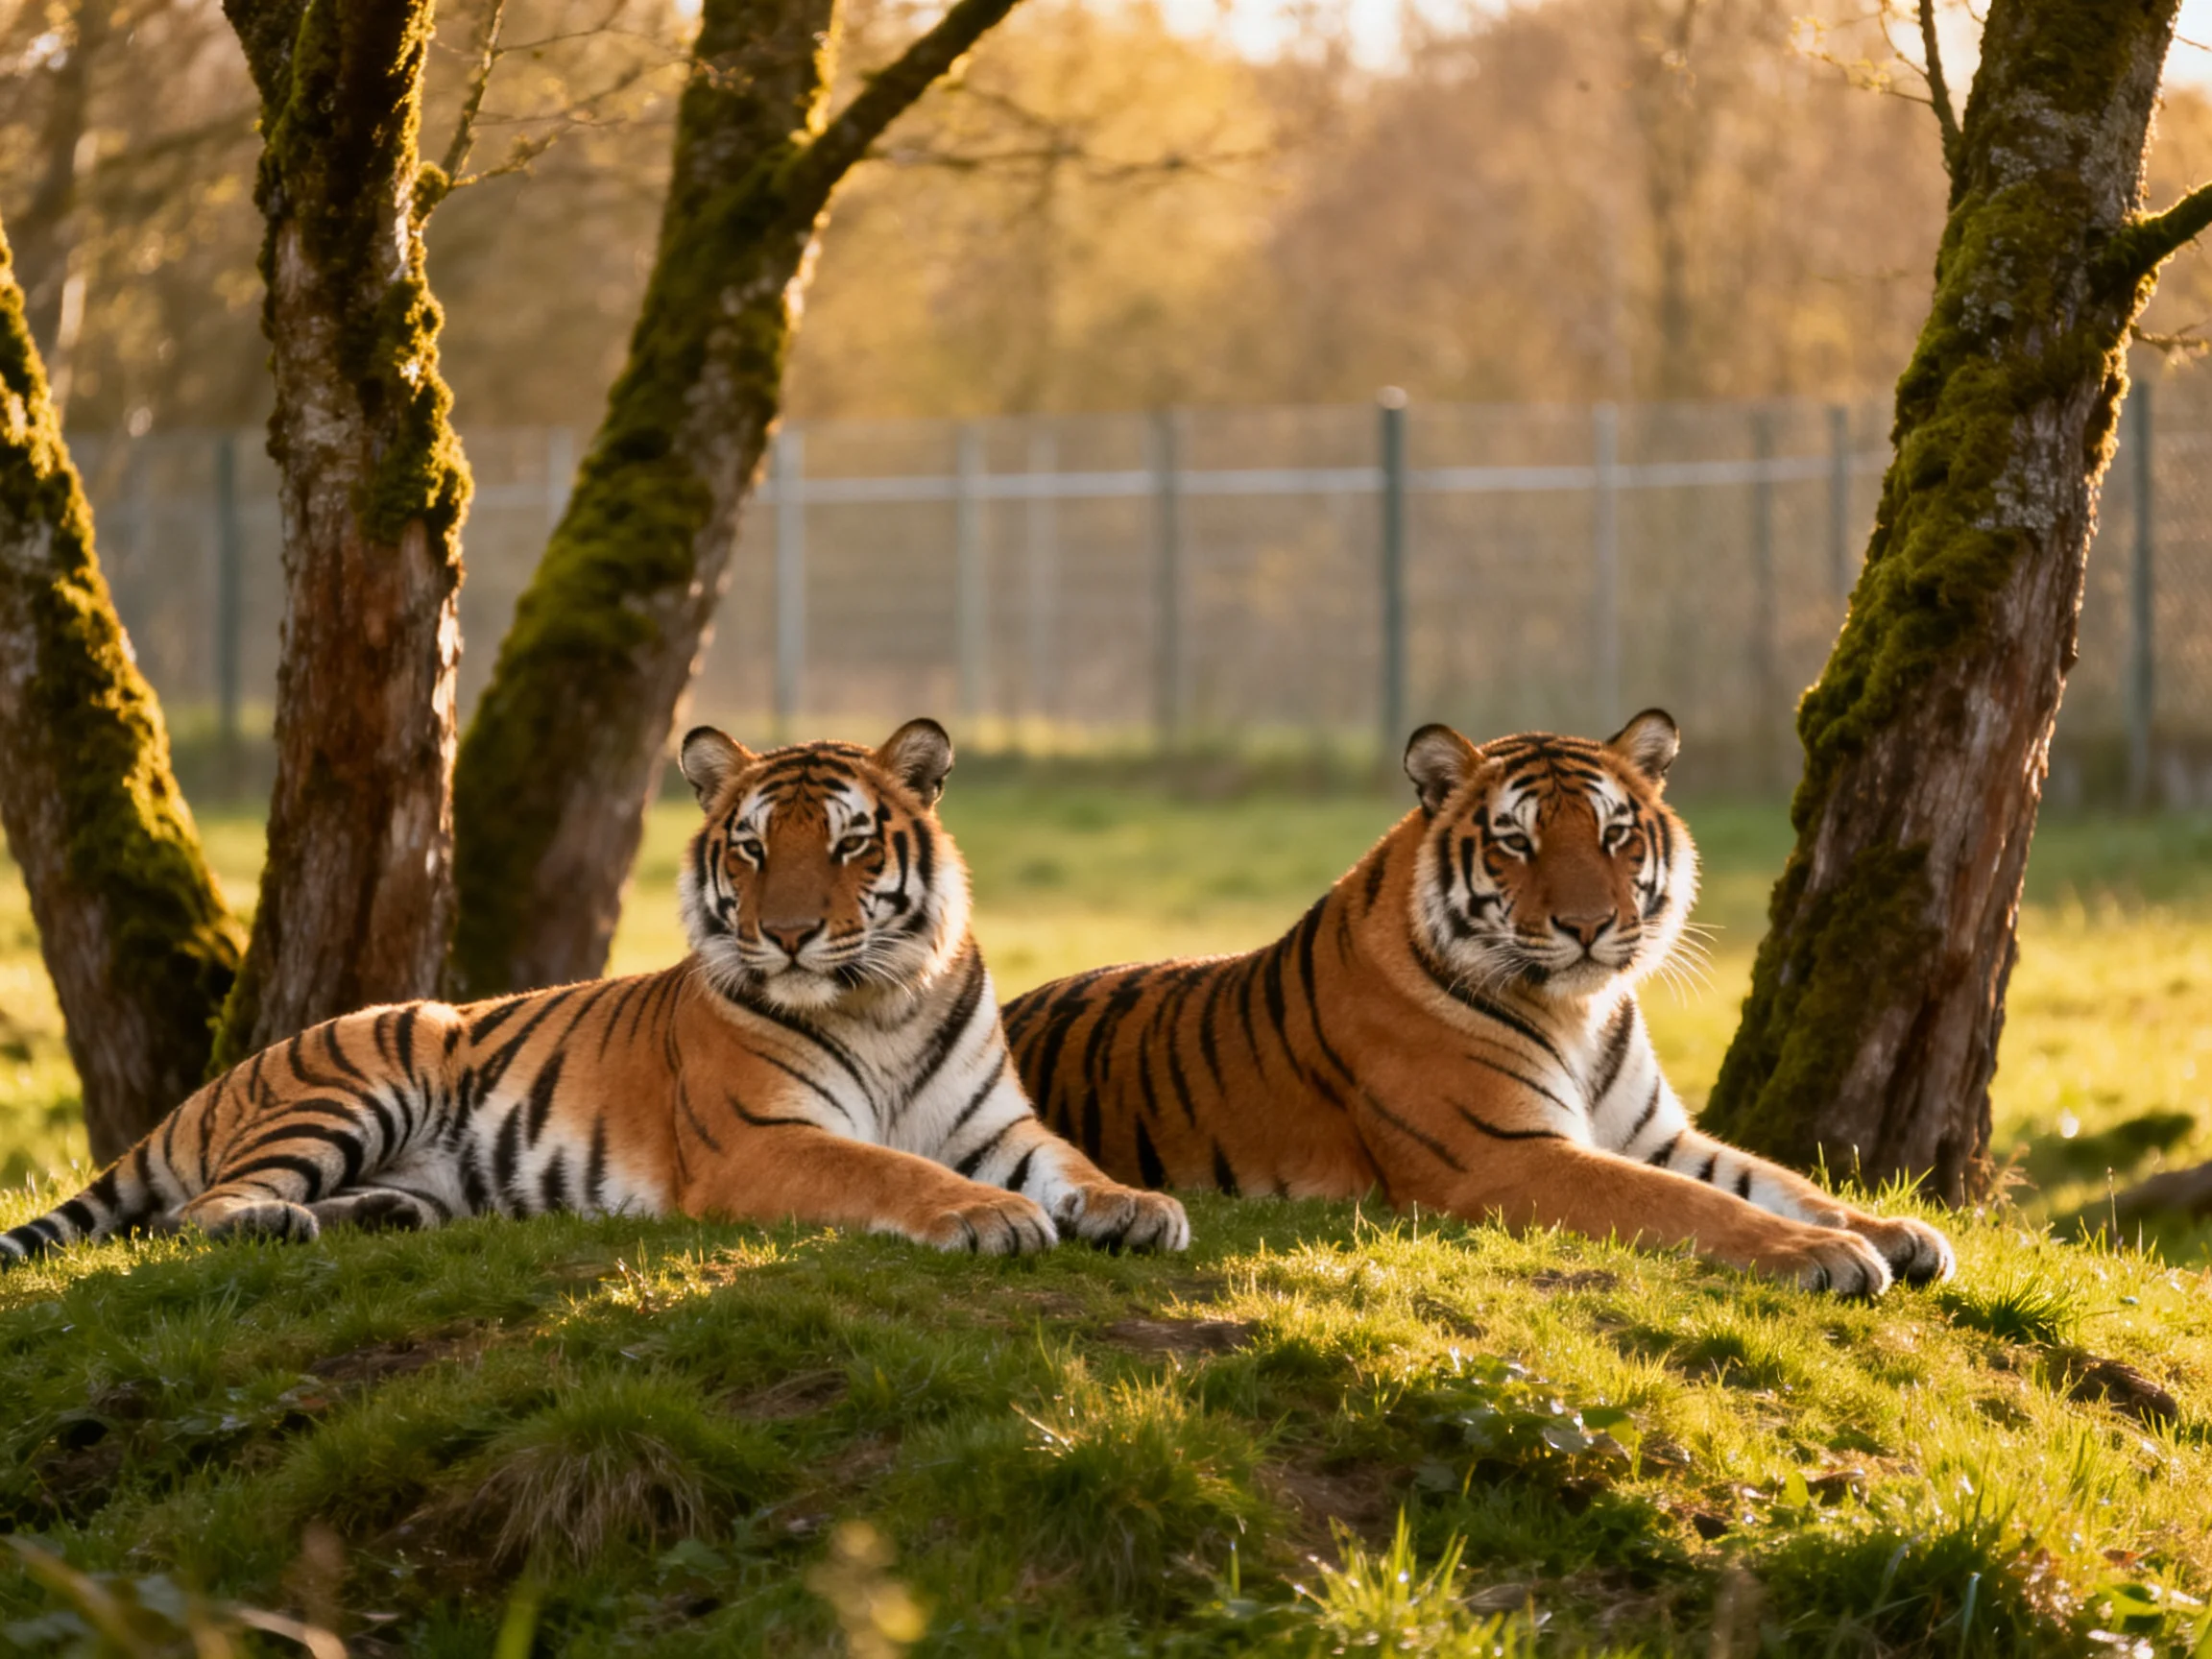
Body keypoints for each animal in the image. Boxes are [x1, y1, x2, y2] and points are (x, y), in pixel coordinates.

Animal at [1, 720, 1188, 1268]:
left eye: (851, 843)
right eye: (753, 848)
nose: (789, 934)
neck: (878, 999)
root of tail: (208, 1089)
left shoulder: (997, 1125)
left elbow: (1071, 1164)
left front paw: (1139, 1207)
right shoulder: (762, 1139)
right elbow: (890, 1169)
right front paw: (991, 1218)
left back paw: (376, 1214)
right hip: (368, 1074)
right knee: (195, 1212)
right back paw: (272, 1223)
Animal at [1003, 712, 1953, 1296]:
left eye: (1614, 834)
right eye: (1515, 842)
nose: (1586, 926)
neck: (1580, 1010)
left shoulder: (1656, 1138)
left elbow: (1784, 1181)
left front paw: (1894, 1230)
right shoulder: (1507, 1155)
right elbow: (1694, 1206)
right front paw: (1826, 1254)